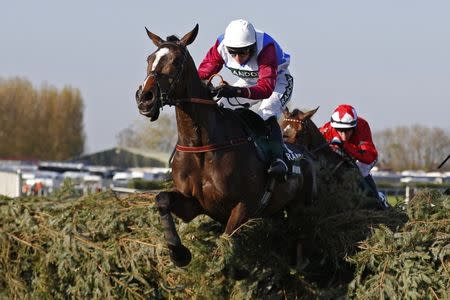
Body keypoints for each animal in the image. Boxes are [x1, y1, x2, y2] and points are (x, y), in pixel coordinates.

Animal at [134, 24, 312, 266]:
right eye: (149, 58)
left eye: (177, 61)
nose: (145, 98)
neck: (202, 146)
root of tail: (304, 153)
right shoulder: (194, 204)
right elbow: (162, 199)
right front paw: (178, 253)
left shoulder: (243, 207)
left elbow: (226, 242)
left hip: (299, 208)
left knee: (300, 237)